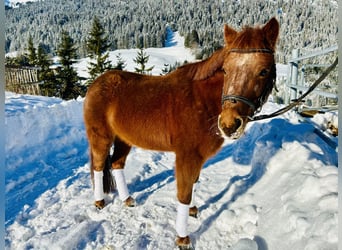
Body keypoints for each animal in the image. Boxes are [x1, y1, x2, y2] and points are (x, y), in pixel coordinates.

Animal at [84, 17, 280, 248]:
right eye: (225, 70)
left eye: (263, 71)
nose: (229, 124)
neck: (201, 101)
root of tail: (96, 84)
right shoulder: (187, 156)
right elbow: (184, 193)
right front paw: (182, 238)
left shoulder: (197, 157)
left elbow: (193, 182)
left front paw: (193, 210)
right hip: (101, 137)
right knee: (98, 166)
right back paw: (99, 201)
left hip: (124, 139)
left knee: (116, 164)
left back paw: (127, 200)